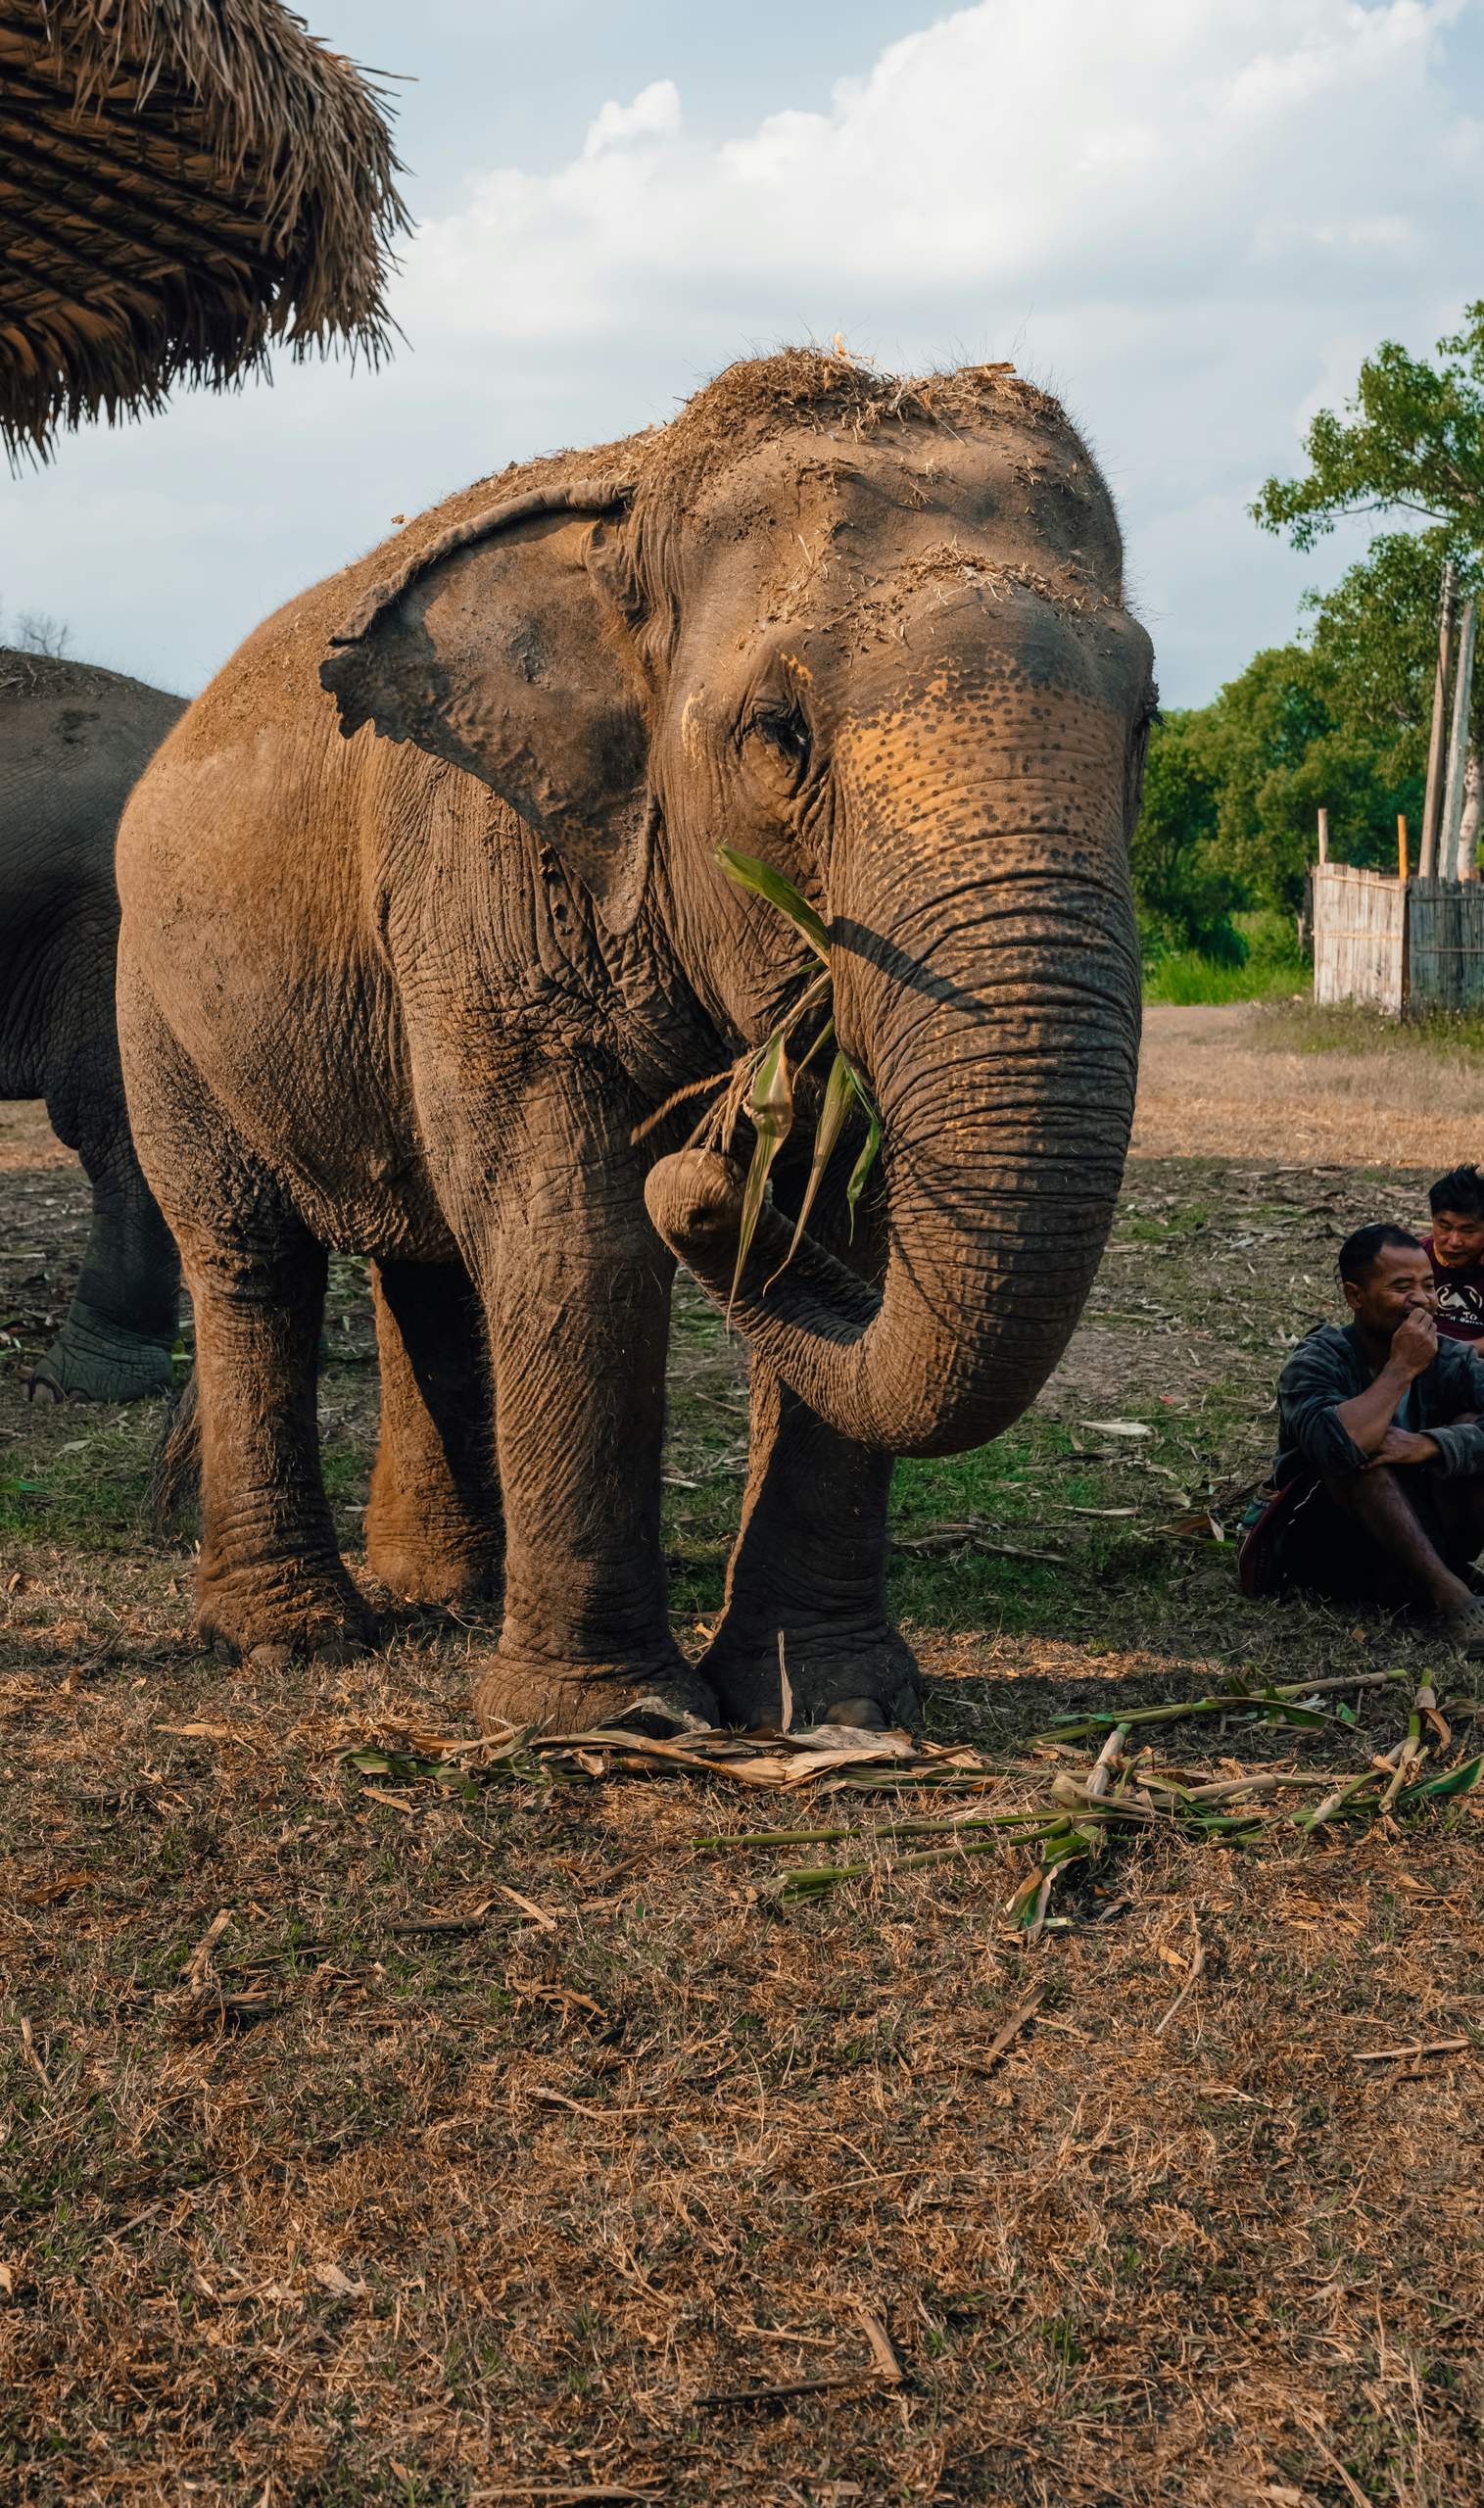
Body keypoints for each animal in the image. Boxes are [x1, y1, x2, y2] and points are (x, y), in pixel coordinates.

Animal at [114, 350, 1155, 1735]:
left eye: (1147, 721)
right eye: (780, 734)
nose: (701, 1174)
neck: (643, 507)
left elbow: (847, 1221)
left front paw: (830, 1704)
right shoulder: (488, 865)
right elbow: (575, 1233)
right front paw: (613, 1719)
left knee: (423, 1255)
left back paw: (451, 1588)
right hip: (158, 998)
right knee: (247, 1257)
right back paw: (294, 1637)